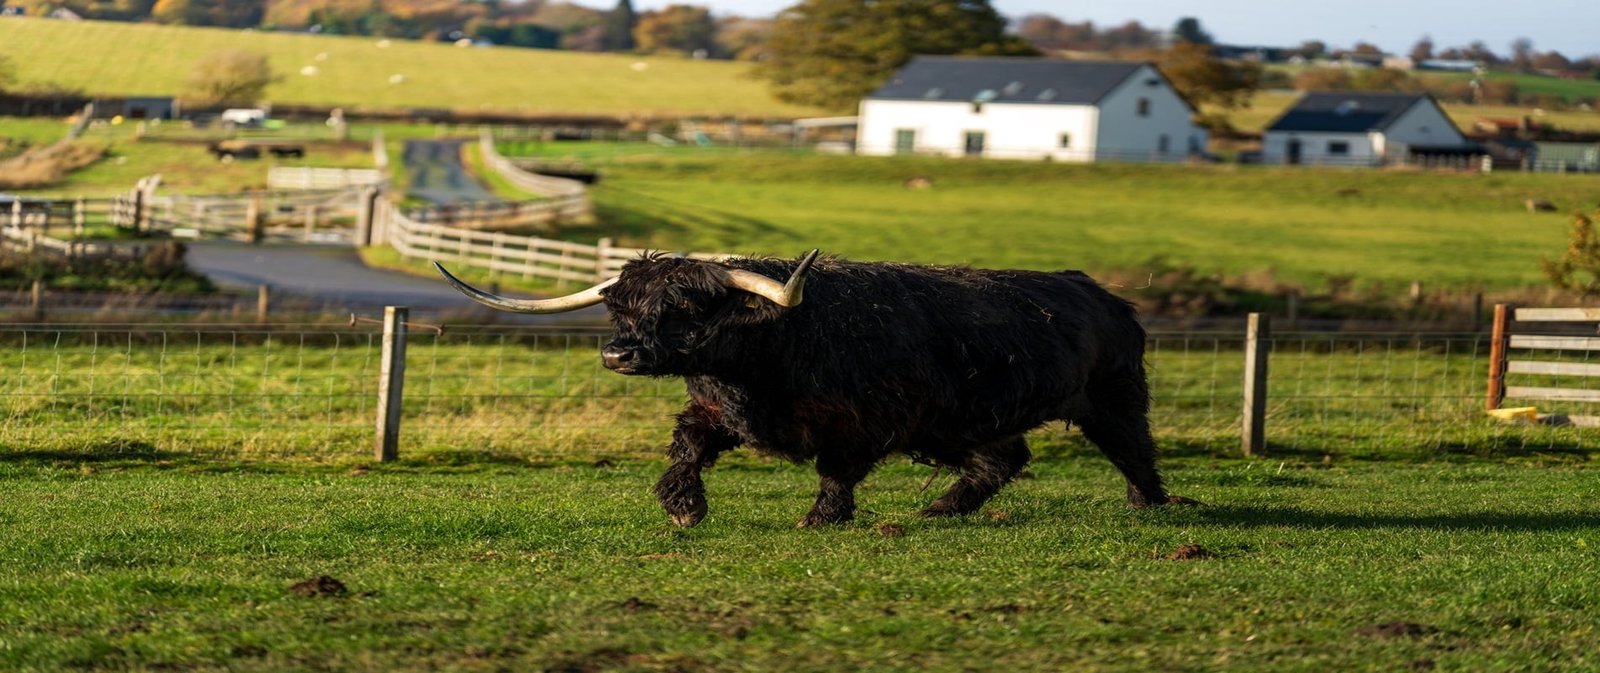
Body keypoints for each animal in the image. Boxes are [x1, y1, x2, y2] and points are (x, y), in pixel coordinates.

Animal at [434, 251, 1193, 528]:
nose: (617, 352)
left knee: (1134, 450)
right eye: (619, 309)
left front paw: (822, 517)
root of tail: (1104, 294)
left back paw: (1149, 505)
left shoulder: (863, 421)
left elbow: (836, 470)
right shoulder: (718, 409)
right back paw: (942, 507)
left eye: (682, 307)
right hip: (962, 419)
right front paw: (684, 506)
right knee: (1003, 459)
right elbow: (687, 447)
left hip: (1113, 396)